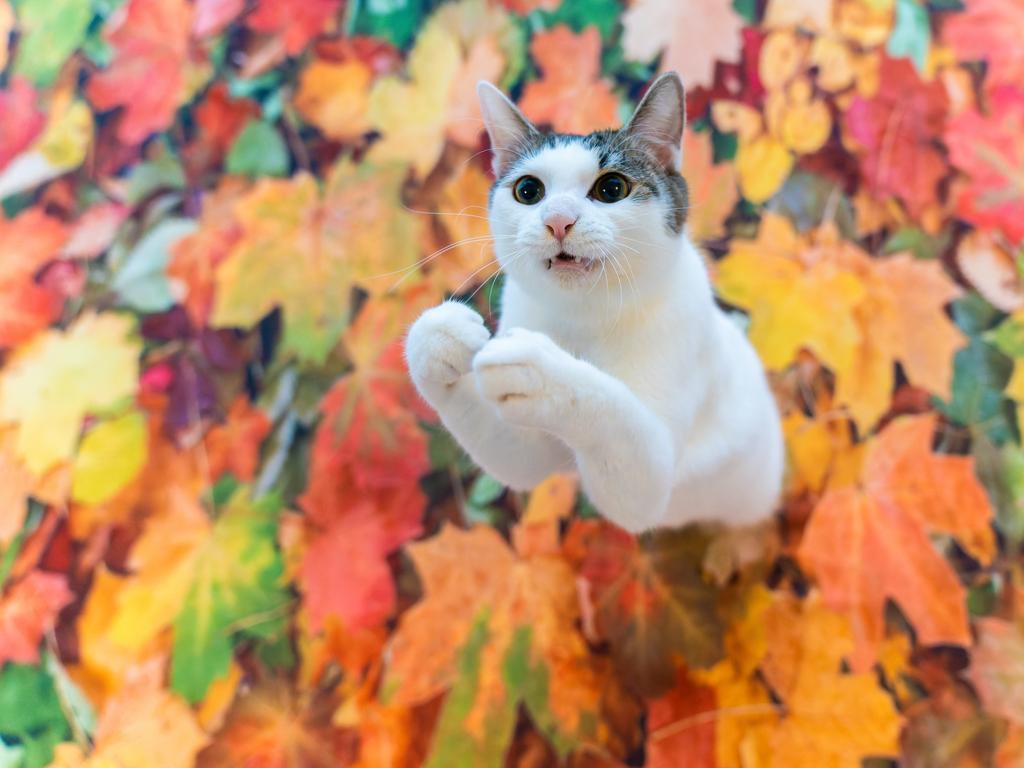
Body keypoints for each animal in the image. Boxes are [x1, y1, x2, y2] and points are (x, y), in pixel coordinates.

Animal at [403, 73, 778, 536]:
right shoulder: (530, 457)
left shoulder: (650, 477)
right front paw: (437, 335)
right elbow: (518, 458)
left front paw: (544, 371)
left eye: (612, 188)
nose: (558, 219)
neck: (583, 316)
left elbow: (613, 411)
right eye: (528, 190)